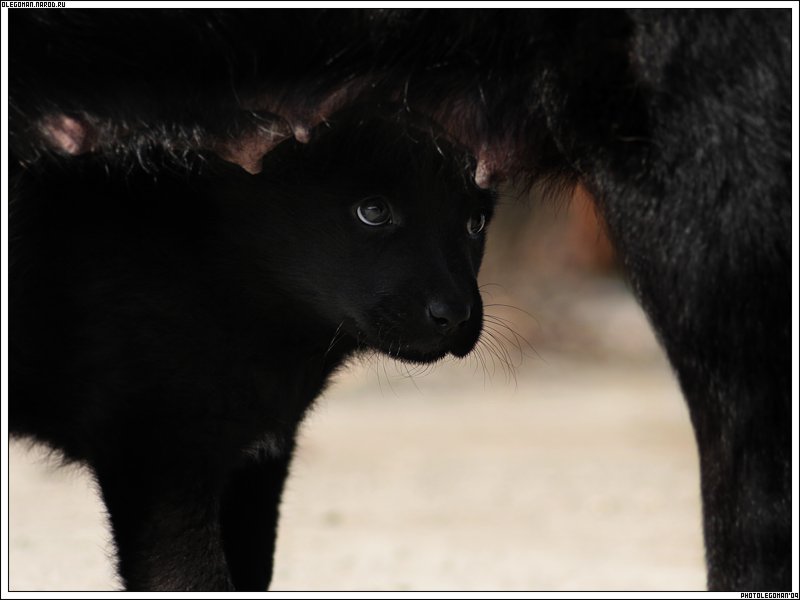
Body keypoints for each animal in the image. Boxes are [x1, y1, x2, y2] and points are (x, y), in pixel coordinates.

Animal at [9, 116, 496, 592]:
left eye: (476, 222)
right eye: (373, 211)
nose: (455, 315)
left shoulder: (258, 456)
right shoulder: (159, 455)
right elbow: (192, 579)